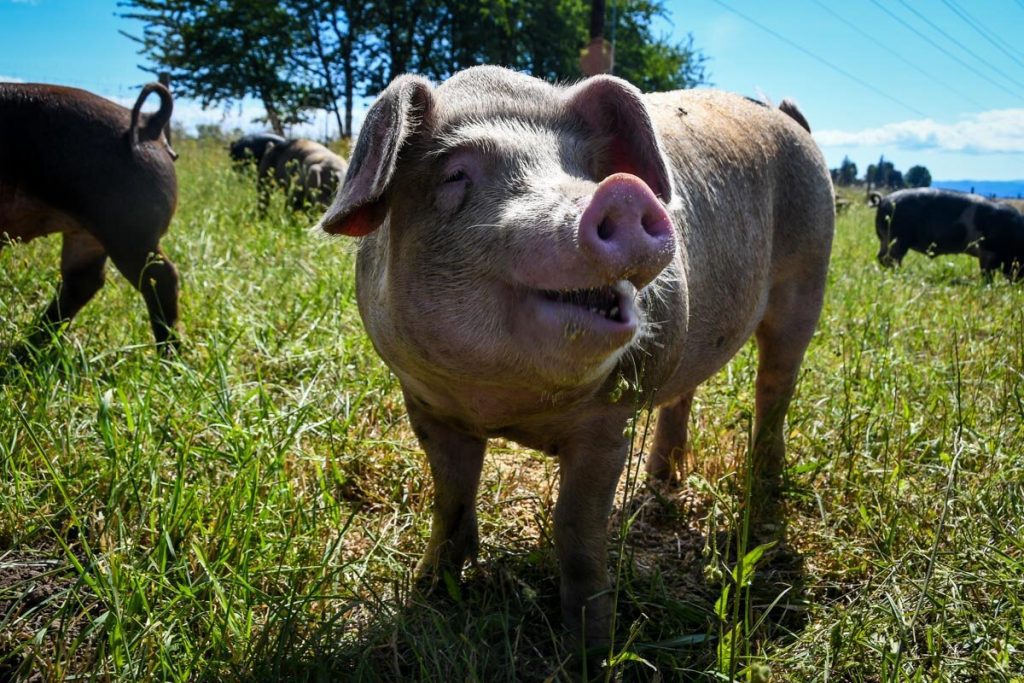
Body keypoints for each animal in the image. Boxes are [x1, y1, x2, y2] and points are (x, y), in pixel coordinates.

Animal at [1, 81, 181, 352]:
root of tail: (148, 125)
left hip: (128, 230)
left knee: (160, 278)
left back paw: (169, 357)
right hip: (88, 233)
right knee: (83, 280)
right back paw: (29, 347)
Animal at [319, 66, 839, 651]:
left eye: (585, 170)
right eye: (455, 174)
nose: (623, 192)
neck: (504, 407)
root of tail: (792, 123)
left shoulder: (608, 425)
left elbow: (576, 528)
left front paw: (592, 648)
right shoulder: (427, 405)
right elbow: (449, 500)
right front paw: (428, 592)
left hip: (809, 277)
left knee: (775, 389)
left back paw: (764, 493)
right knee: (684, 394)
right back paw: (661, 483)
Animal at [872, 187, 1024, 278]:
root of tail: (884, 200)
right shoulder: (988, 252)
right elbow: (987, 273)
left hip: (885, 239)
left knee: (881, 256)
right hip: (898, 239)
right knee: (891, 258)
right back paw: (902, 272)